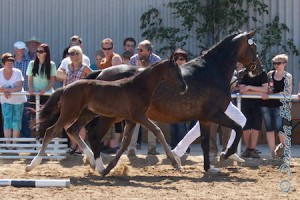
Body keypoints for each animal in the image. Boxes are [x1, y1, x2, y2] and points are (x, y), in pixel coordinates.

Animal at [24, 54, 186, 172]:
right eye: (175, 70)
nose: (184, 87)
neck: (139, 87)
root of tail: (65, 88)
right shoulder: (138, 116)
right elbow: (157, 131)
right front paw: (175, 163)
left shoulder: (131, 119)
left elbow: (126, 141)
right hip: (70, 113)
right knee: (51, 131)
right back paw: (32, 165)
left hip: (87, 114)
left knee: (73, 130)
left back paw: (96, 164)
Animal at [80, 28, 260, 176]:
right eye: (254, 47)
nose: (259, 68)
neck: (212, 70)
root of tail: (101, 72)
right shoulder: (214, 114)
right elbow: (238, 128)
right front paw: (225, 154)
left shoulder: (204, 118)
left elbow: (205, 142)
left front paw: (209, 168)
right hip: (110, 116)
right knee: (94, 136)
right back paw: (99, 166)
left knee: (109, 139)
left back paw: (101, 165)